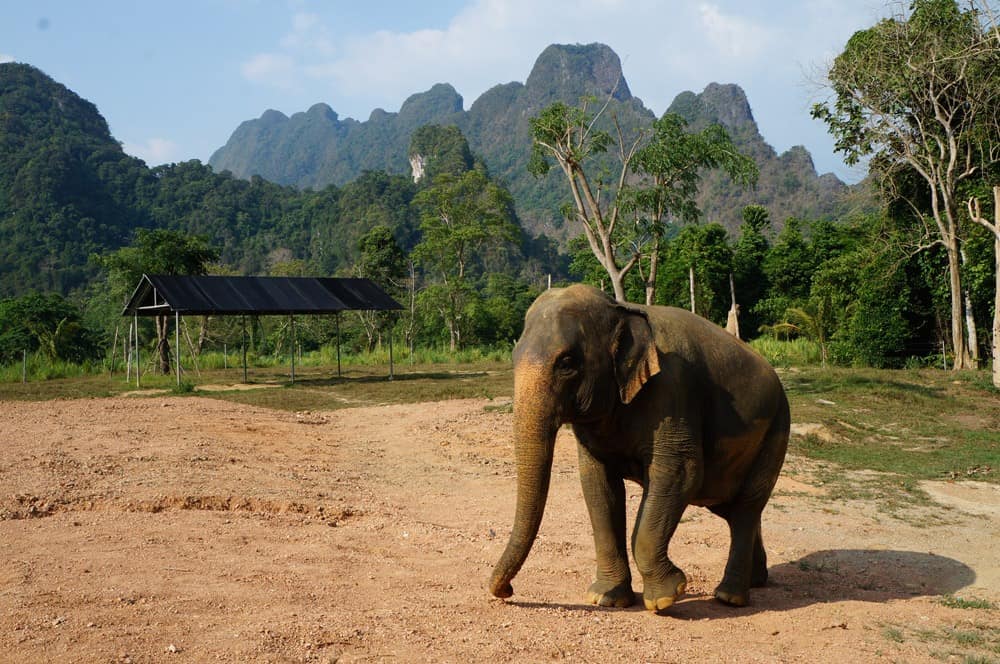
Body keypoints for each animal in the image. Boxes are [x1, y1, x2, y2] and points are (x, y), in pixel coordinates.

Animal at [490, 282, 788, 616]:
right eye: (513, 357)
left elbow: (679, 473)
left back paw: (729, 597)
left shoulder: (672, 388)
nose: (506, 592)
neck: (621, 310)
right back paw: (757, 580)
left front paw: (665, 598)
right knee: (731, 509)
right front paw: (607, 598)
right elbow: (598, 485)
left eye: (567, 363)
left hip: (777, 429)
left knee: (746, 507)